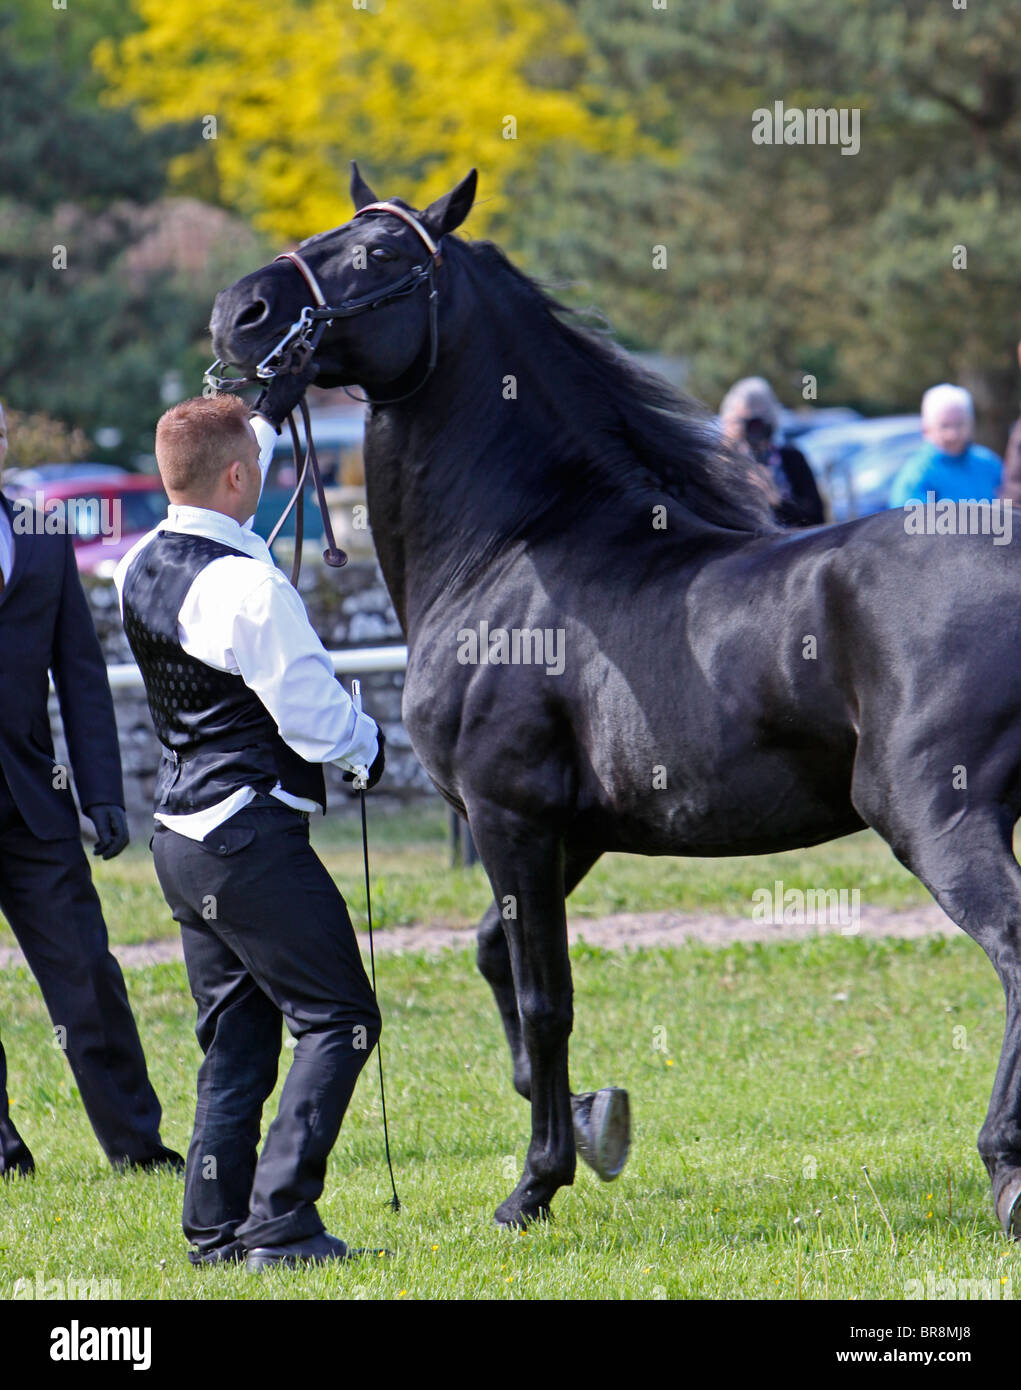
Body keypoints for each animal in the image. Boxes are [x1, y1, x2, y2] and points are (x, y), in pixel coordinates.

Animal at [209, 168, 1021, 1234]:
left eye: (379, 255)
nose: (240, 312)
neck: (515, 549)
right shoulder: (575, 831)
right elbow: (492, 957)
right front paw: (594, 1119)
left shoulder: (511, 817)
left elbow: (544, 994)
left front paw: (535, 1180)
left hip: (935, 816)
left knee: (1014, 950)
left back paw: (1003, 1163)